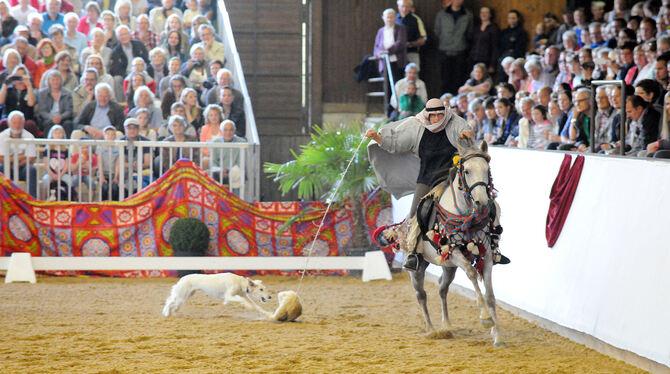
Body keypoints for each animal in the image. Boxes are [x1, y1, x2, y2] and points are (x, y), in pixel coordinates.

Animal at [410, 141, 504, 348]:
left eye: (487, 170)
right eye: (467, 171)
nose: (481, 201)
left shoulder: (486, 256)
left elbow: (490, 295)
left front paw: (498, 335)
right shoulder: (454, 252)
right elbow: (471, 273)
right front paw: (485, 317)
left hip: (449, 267)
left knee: (442, 289)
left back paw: (447, 325)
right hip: (418, 267)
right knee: (421, 295)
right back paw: (431, 329)